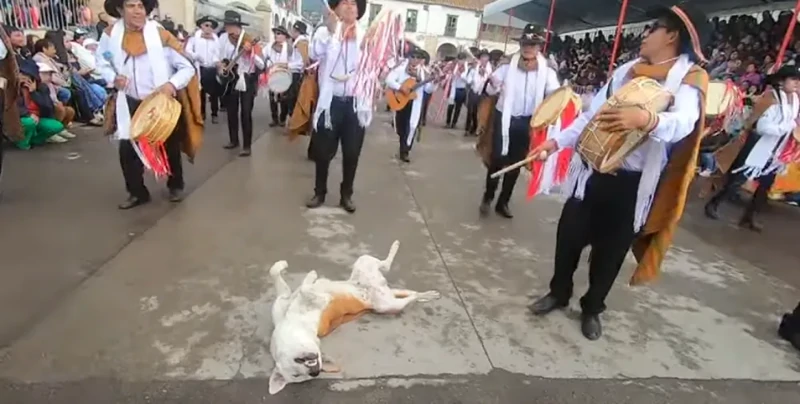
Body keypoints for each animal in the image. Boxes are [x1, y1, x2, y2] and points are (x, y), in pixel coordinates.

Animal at [268, 240, 444, 394]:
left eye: (297, 363)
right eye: (297, 376)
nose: (315, 372)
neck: (295, 325)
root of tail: (381, 290)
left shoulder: (282, 301)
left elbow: (278, 274)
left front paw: (294, 270)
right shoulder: (321, 300)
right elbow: (305, 288)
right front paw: (309, 279)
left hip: (364, 263)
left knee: (387, 267)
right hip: (387, 304)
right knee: (408, 294)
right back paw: (425, 295)